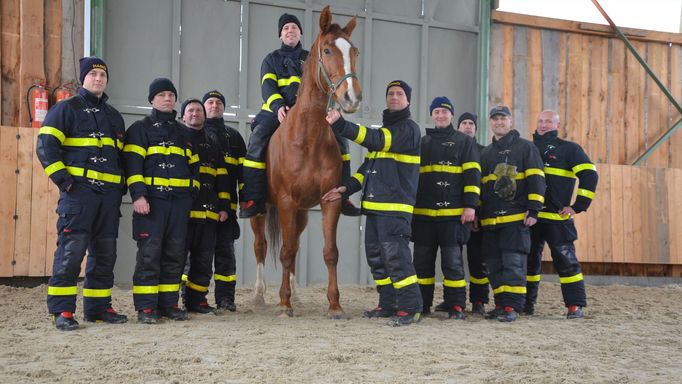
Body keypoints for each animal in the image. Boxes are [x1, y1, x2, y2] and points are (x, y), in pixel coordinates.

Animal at [250, 5, 362, 318]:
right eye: (327, 50)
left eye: (354, 51)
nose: (351, 97)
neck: (308, 138)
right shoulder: (286, 202)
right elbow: (284, 252)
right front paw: (283, 303)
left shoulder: (329, 200)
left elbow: (329, 253)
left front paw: (334, 305)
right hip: (261, 211)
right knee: (262, 246)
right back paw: (260, 295)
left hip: (300, 213)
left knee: (296, 245)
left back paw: (297, 294)